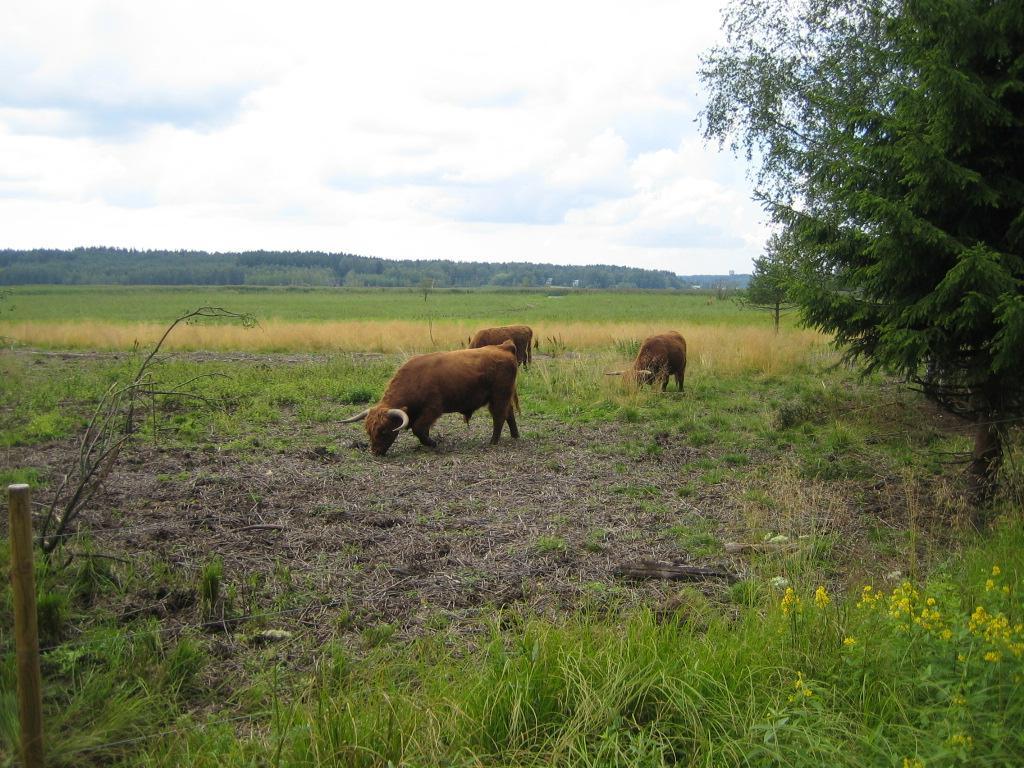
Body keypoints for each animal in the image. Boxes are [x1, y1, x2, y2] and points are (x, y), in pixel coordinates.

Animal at [342, 339, 520, 454]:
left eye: (384, 431)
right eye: (368, 431)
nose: (375, 452)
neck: (414, 380)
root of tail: (503, 347)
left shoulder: (433, 409)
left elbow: (418, 428)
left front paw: (432, 443)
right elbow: (421, 429)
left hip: (499, 396)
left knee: (499, 416)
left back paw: (493, 441)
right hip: (503, 397)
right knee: (509, 414)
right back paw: (515, 436)